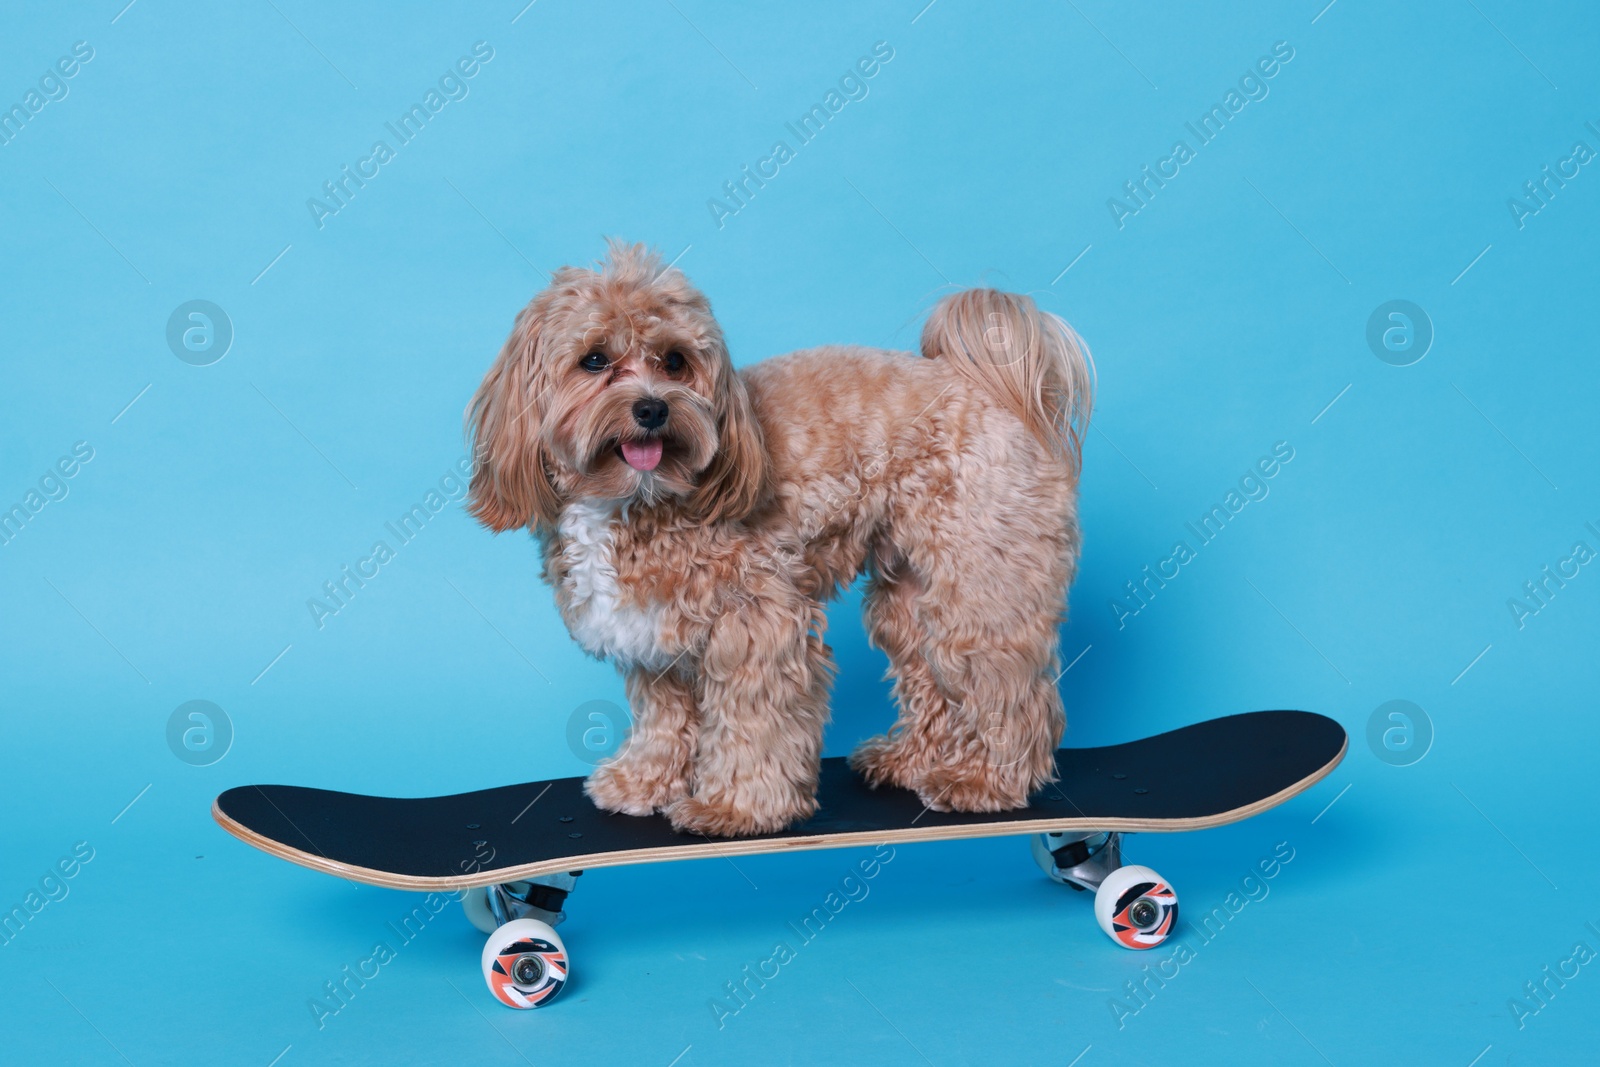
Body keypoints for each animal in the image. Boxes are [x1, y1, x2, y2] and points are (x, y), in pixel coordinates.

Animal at [464, 246, 1088, 838]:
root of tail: (982, 385)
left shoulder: (756, 621)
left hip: (980, 585)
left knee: (1009, 690)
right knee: (931, 678)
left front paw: (734, 809)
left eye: (675, 361)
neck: (639, 500)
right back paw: (911, 761)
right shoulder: (654, 637)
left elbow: (753, 723)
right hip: (910, 597)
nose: (652, 408)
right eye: (593, 359)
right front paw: (644, 781)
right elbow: (664, 715)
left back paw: (984, 780)